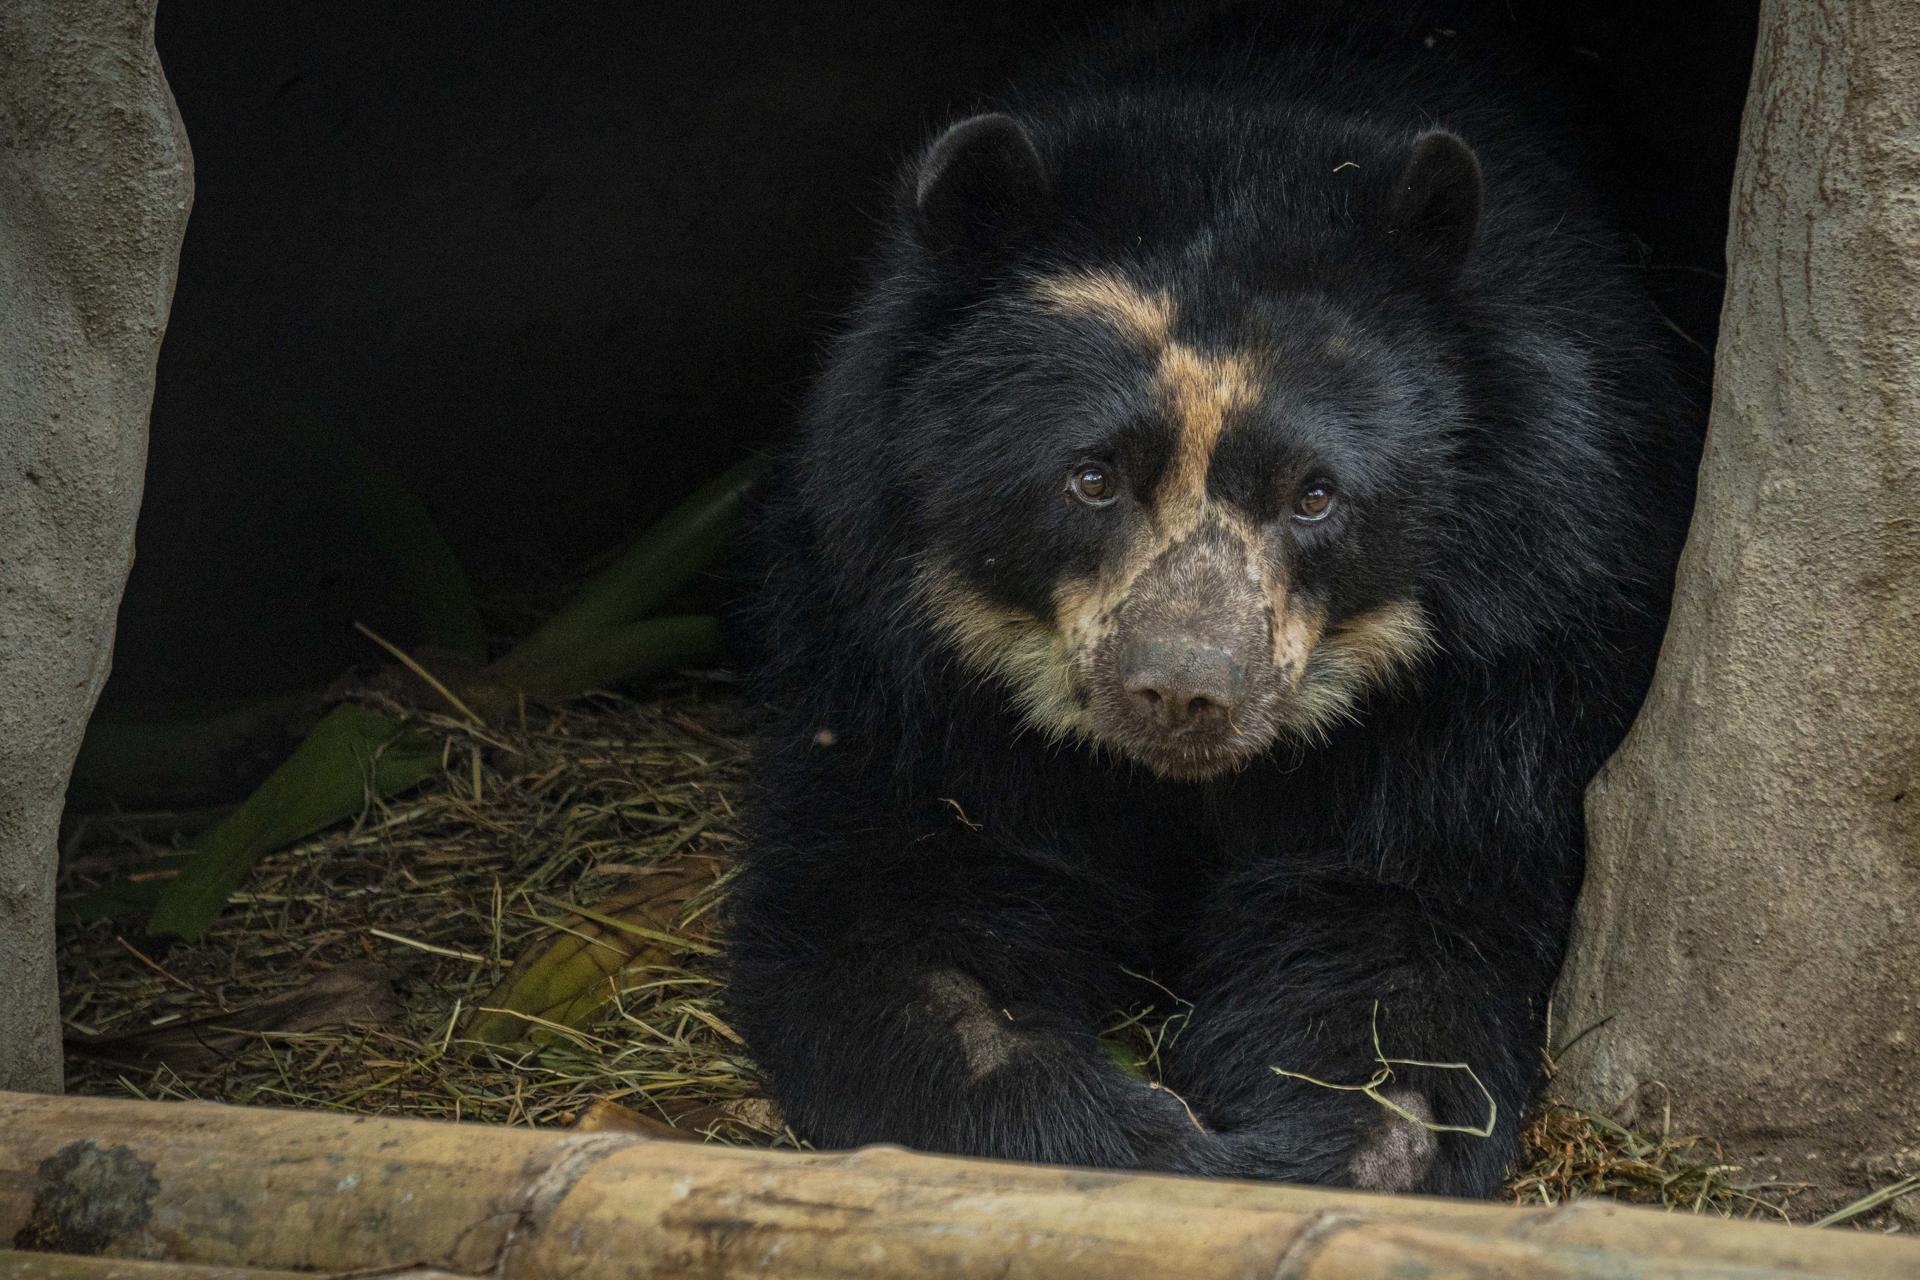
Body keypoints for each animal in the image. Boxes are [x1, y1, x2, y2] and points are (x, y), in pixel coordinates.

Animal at [726, 0, 1700, 1197]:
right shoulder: (898, 660)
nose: (1186, 694)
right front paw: (1143, 1143)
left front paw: (1315, 1151)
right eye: (1092, 476)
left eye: (1316, 495)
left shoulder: (1501, 675)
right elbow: (902, 921)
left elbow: (1396, 945)